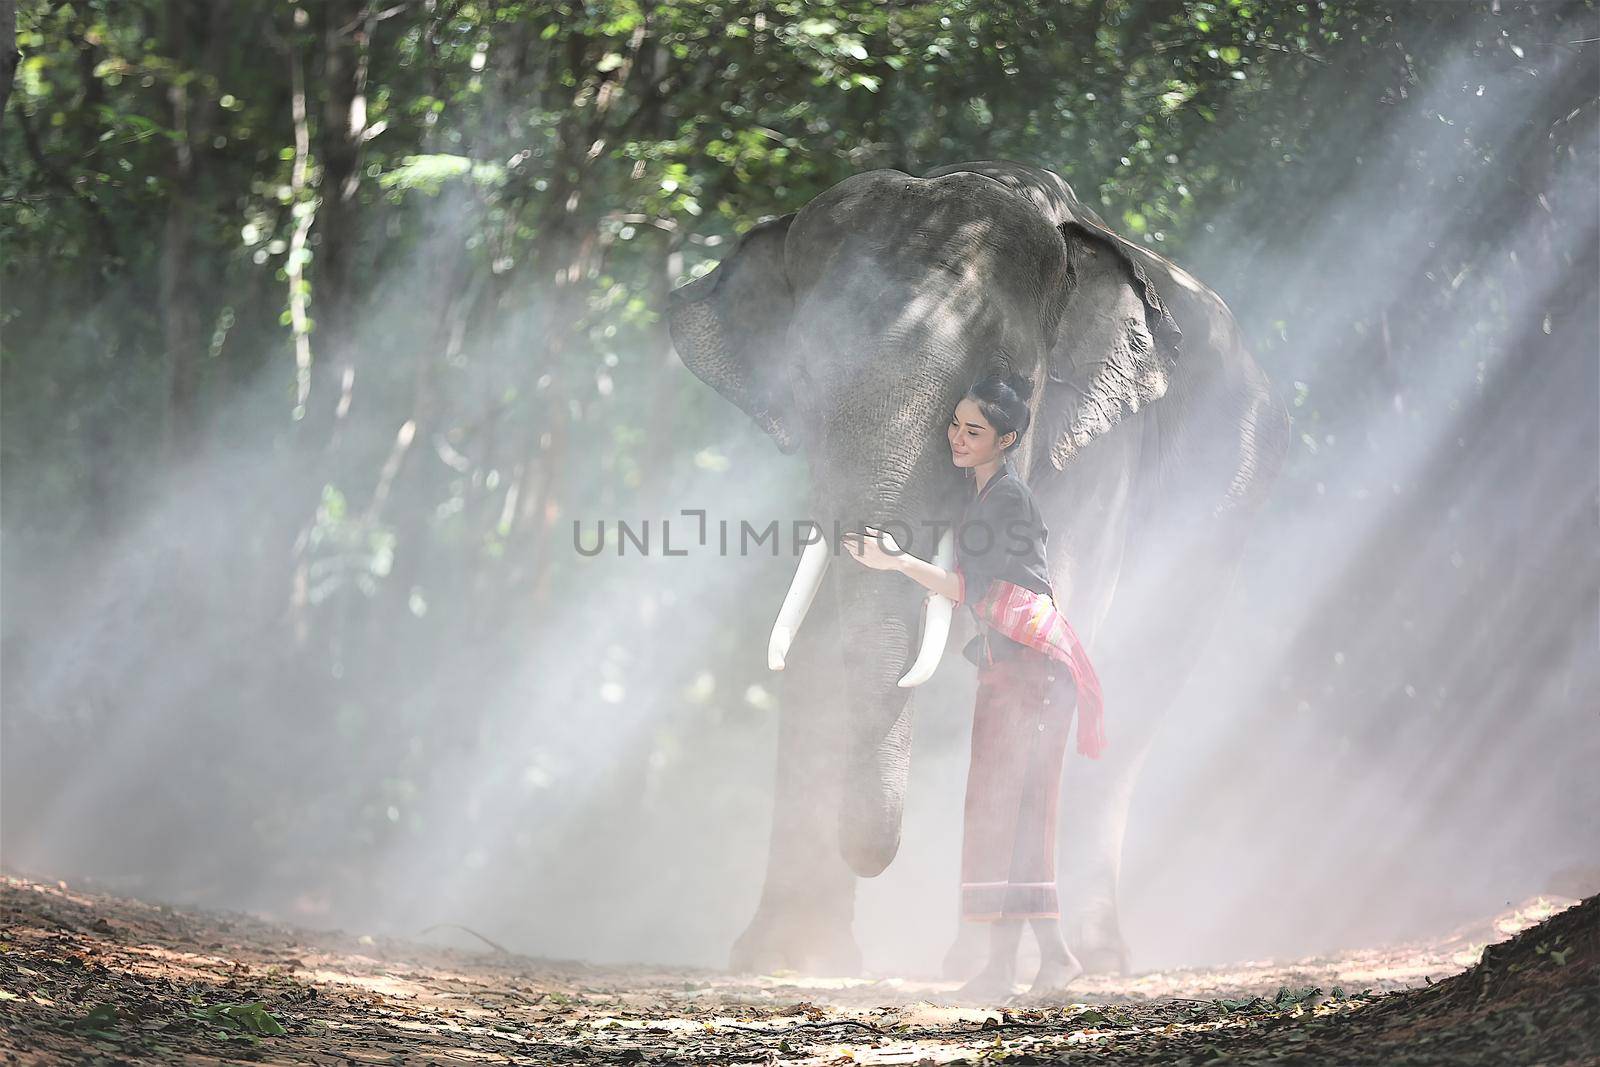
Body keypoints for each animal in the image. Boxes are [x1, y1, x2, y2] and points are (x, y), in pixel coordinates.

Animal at [668, 158, 1292, 979]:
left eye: (1003, 380)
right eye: (802, 377)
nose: (873, 857)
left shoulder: (1095, 449)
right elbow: (819, 645)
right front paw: (787, 959)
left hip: (1228, 505)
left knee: (1134, 693)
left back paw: (1075, 960)